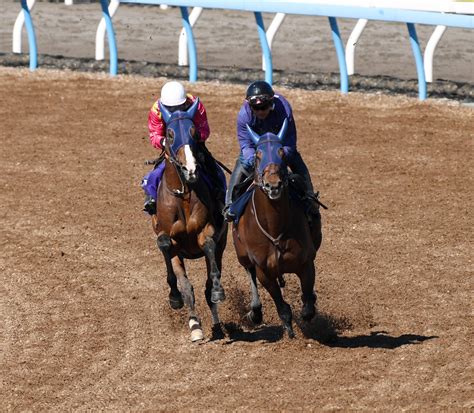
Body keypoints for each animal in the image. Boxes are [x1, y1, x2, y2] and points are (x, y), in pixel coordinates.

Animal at [152, 100, 226, 342]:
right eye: (170, 134)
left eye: (194, 133)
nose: (191, 170)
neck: (183, 195)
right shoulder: (169, 238)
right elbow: (166, 248)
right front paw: (178, 302)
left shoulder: (207, 231)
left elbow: (209, 246)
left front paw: (218, 290)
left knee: (209, 282)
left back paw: (217, 324)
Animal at [231, 117, 322, 336]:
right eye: (258, 155)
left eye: (281, 153)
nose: (273, 185)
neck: (274, 228)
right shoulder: (264, 271)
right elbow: (281, 306)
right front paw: (289, 329)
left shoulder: (306, 263)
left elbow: (307, 301)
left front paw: (308, 309)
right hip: (242, 255)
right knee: (249, 273)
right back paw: (255, 312)